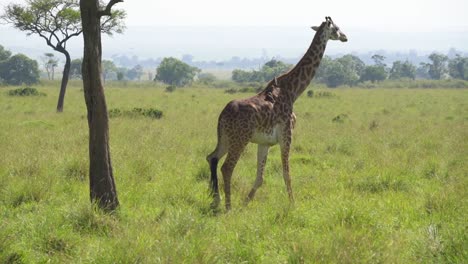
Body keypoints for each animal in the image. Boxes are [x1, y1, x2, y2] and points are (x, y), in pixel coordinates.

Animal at [207, 16, 346, 210]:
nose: (345, 37)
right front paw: (293, 205)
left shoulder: (264, 142)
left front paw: (246, 203)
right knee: (226, 167)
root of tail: (223, 115)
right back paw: (228, 206)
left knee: (212, 157)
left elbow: (260, 177)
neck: (293, 91)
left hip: (225, 137)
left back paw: (216, 199)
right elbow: (287, 173)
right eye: (336, 28)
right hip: (240, 139)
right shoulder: (287, 135)